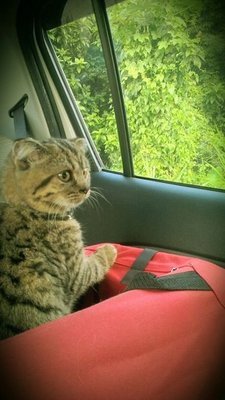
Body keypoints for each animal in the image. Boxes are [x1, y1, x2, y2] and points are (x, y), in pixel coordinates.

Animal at [0, 136, 116, 340]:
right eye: (65, 175)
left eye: (85, 171)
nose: (86, 189)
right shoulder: (77, 274)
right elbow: (97, 263)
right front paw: (110, 249)